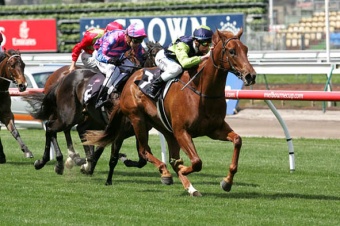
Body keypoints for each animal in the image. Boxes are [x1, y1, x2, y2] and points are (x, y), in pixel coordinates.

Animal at [84, 28, 255, 196]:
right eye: (232, 51)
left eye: (246, 49)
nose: (251, 75)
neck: (201, 92)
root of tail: (130, 79)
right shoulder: (182, 131)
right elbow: (196, 162)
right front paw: (182, 169)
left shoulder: (214, 129)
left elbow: (237, 140)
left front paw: (227, 182)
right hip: (137, 119)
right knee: (144, 151)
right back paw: (164, 173)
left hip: (164, 128)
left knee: (160, 155)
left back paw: (190, 187)